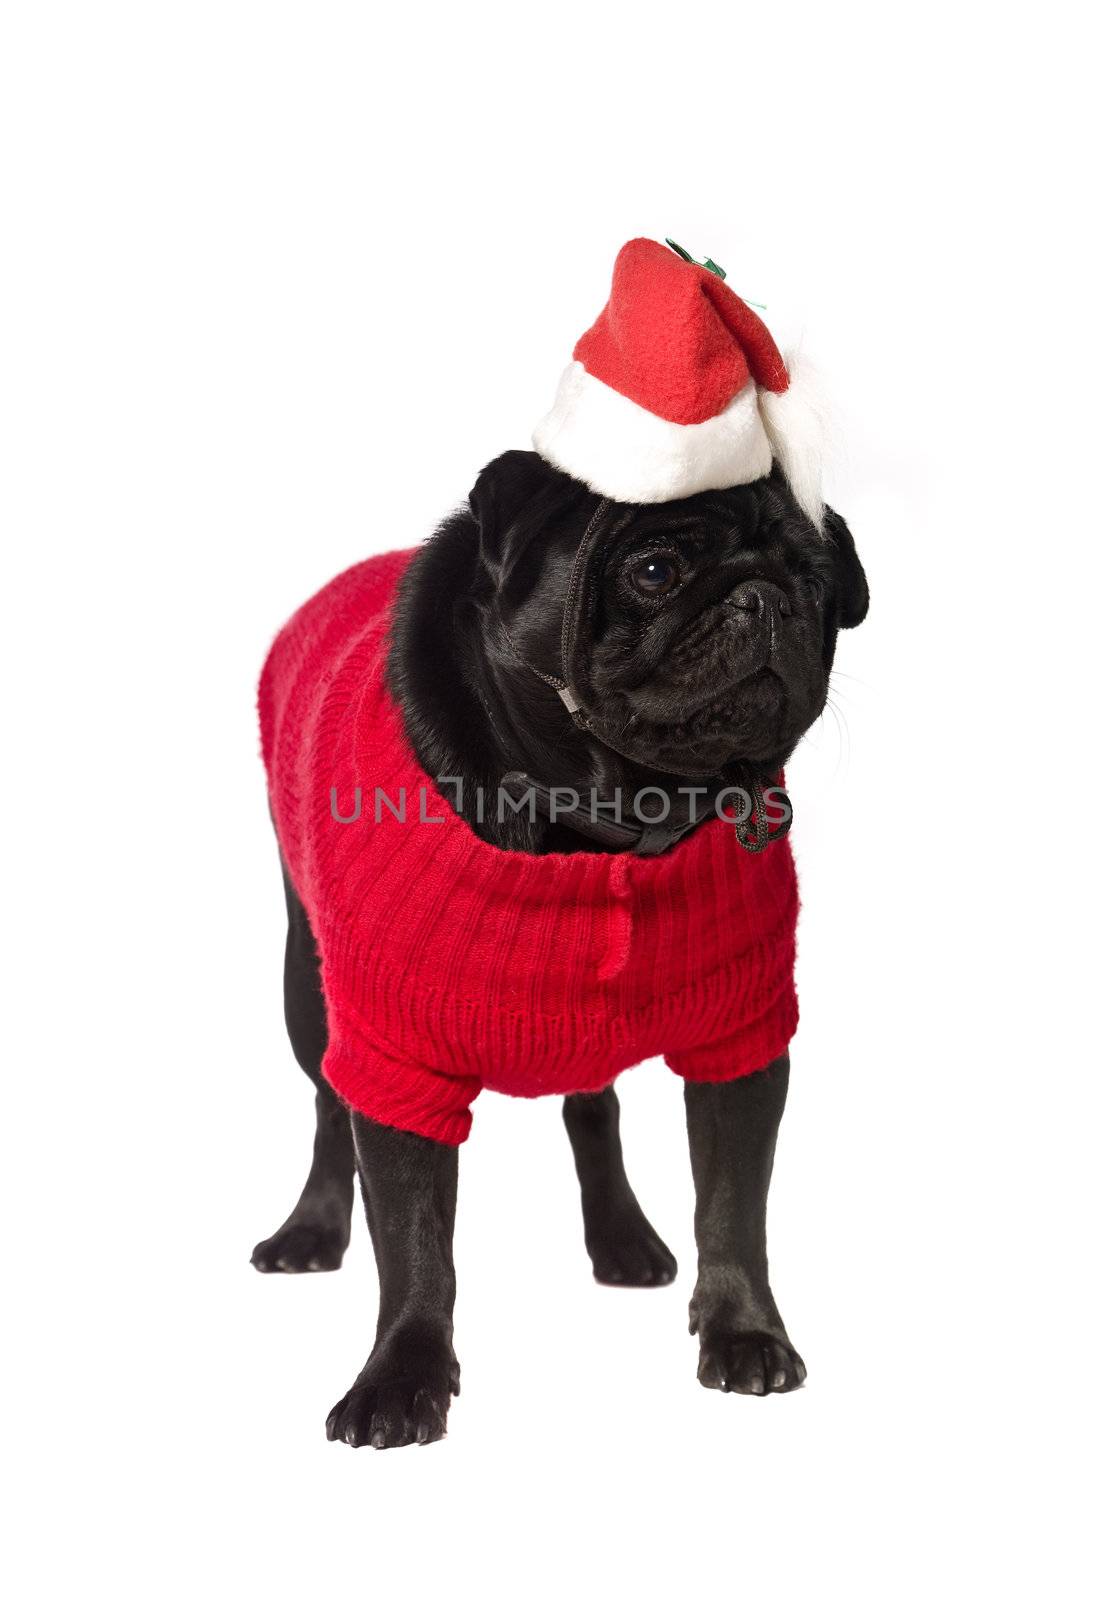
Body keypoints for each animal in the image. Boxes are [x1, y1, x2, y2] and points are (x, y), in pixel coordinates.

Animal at [254, 451, 869, 1452]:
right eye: (654, 569)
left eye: (816, 583)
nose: (764, 597)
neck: (604, 816)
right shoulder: (393, 1057)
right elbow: (413, 1244)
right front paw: (400, 1379)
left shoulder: (739, 1046)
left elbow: (732, 1204)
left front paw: (744, 1332)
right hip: (306, 994)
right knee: (325, 1104)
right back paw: (309, 1232)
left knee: (593, 1108)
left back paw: (620, 1239)